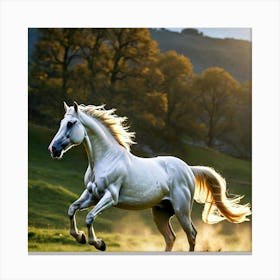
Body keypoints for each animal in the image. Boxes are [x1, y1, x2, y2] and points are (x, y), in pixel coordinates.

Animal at [48, 102, 252, 252]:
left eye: (70, 124)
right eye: (61, 123)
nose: (53, 149)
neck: (107, 159)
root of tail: (188, 169)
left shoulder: (110, 197)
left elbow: (90, 217)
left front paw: (99, 243)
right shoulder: (91, 195)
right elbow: (72, 209)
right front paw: (80, 237)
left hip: (181, 210)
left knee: (192, 235)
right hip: (161, 212)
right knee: (171, 238)